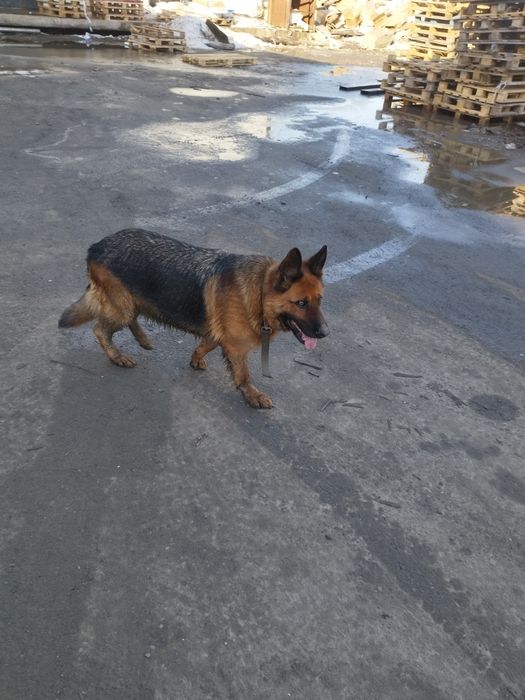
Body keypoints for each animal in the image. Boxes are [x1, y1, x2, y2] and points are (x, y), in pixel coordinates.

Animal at [59, 229, 329, 408]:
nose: (325, 333)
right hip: (122, 307)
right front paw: (253, 395)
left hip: (130, 302)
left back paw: (143, 339)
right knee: (100, 329)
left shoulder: (219, 333)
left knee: (129, 320)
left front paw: (196, 358)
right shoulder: (236, 346)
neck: (259, 292)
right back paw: (117, 356)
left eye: (320, 300)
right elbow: (243, 375)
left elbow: (206, 344)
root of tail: (96, 246)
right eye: (301, 303)